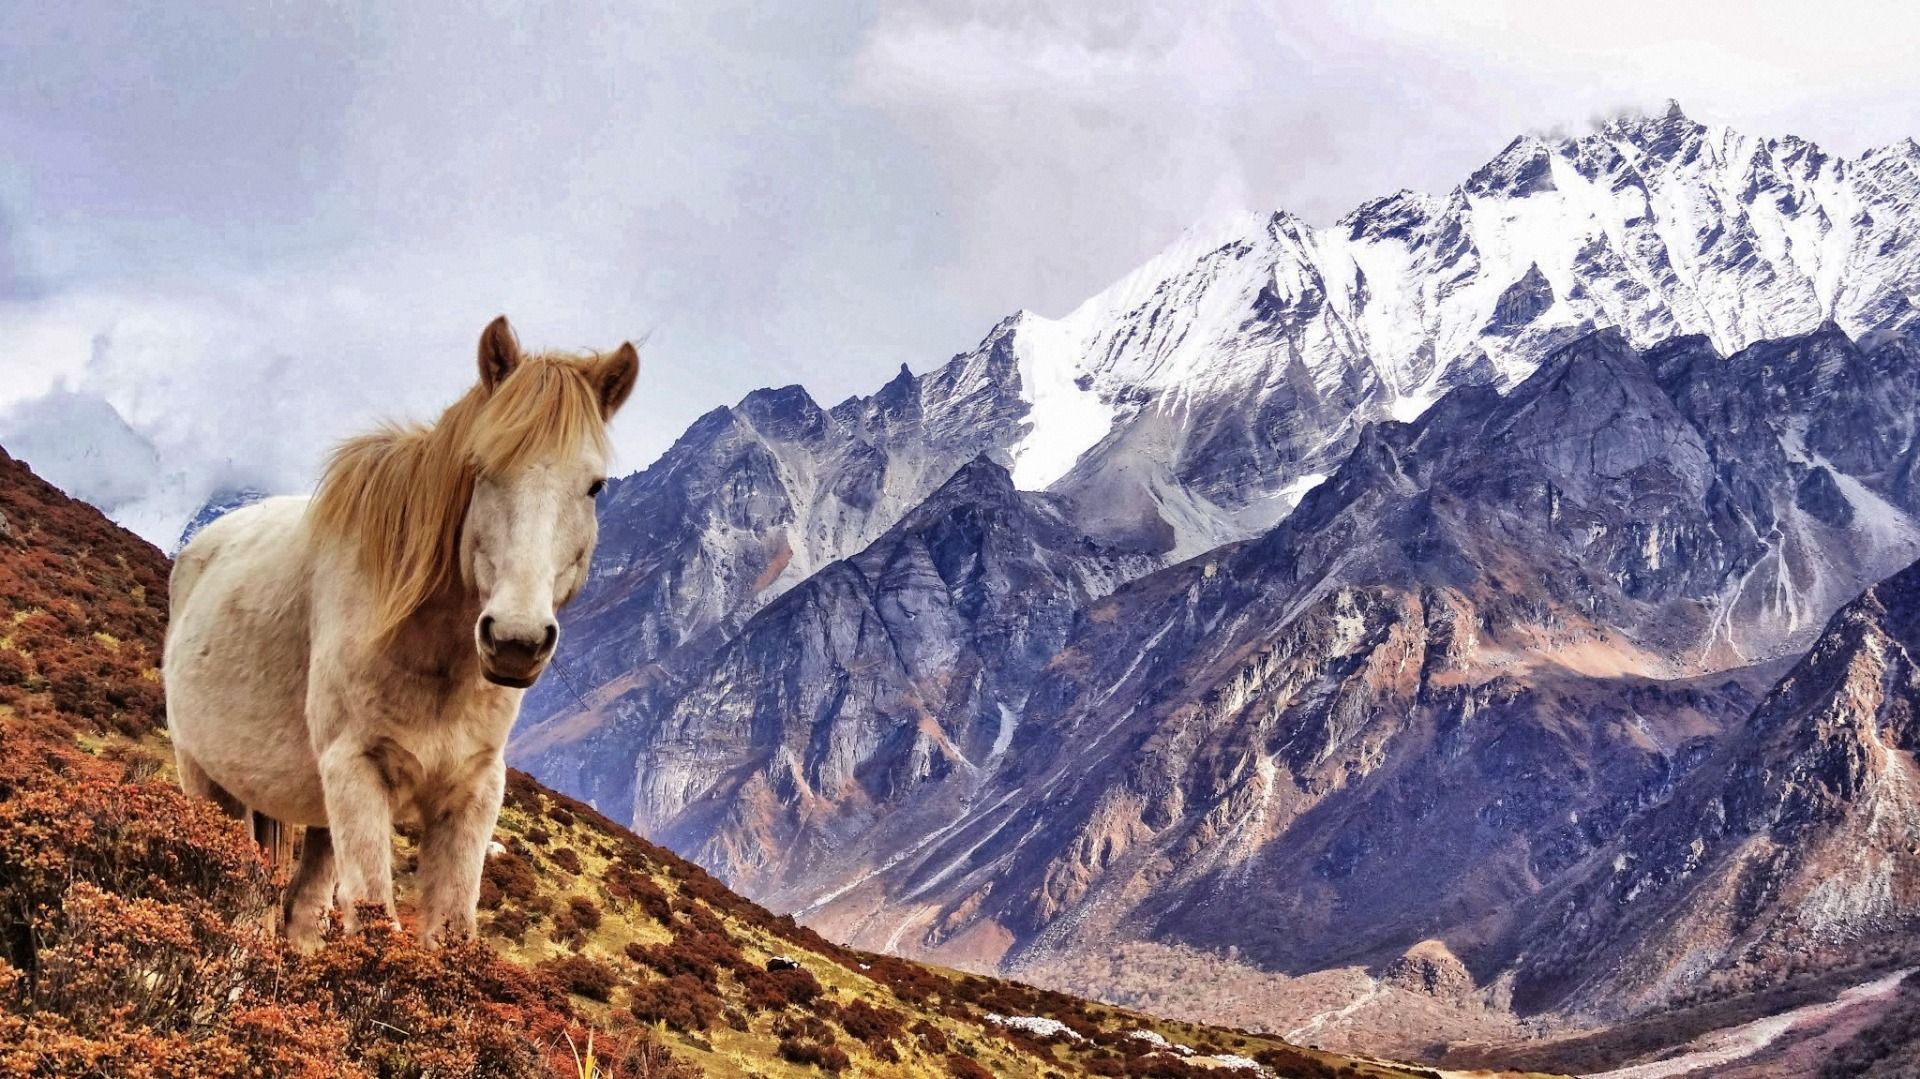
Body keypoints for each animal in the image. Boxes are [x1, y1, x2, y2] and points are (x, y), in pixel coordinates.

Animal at [163, 316, 638, 946]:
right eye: (480, 468)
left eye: (595, 486)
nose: (515, 642)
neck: (434, 659)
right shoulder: (357, 775)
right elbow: (373, 922)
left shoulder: (473, 793)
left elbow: (451, 931)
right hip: (211, 784)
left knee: (300, 911)